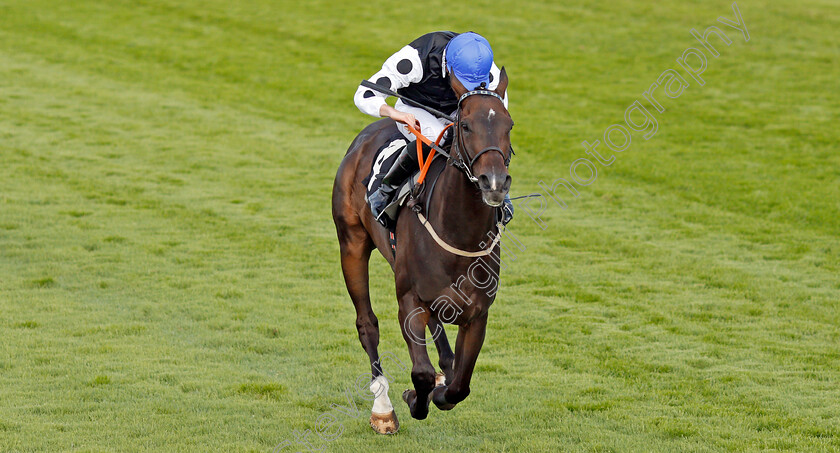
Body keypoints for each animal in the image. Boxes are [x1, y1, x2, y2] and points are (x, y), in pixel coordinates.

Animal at [328, 69, 512, 432]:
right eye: (465, 125)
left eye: (509, 125)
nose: (494, 183)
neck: (459, 235)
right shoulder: (409, 301)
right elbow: (422, 373)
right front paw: (414, 398)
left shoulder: (477, 313)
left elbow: (459, 387)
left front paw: (443, 388)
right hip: (351, 242)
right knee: (367, 324)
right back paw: (382, 408)